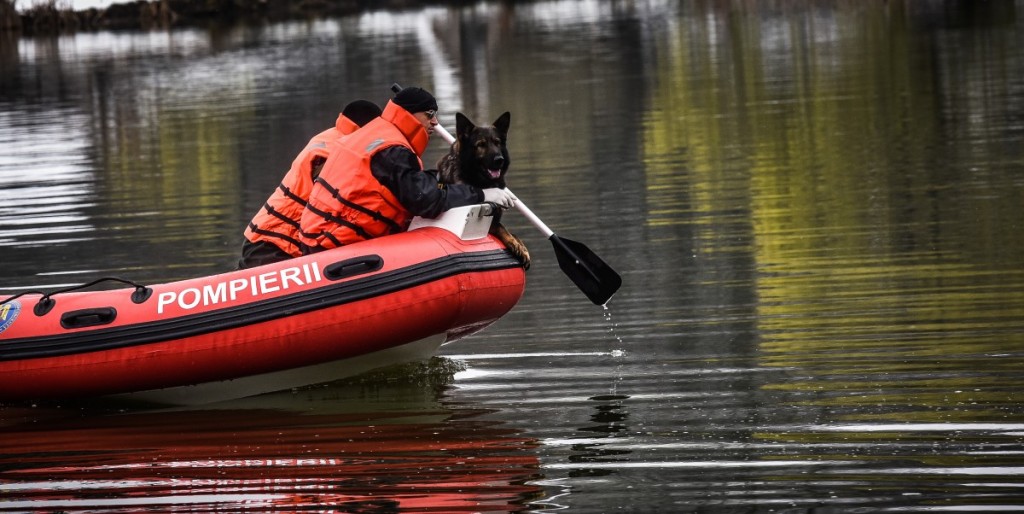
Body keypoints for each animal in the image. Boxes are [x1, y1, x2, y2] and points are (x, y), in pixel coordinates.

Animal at [436, 112, 532, 268]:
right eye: (480, 145)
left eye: (497, 142)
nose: (499, 160)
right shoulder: (489, 222)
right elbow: (501, 227)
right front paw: (513, 243)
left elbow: (513, 232)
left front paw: (521, 246)